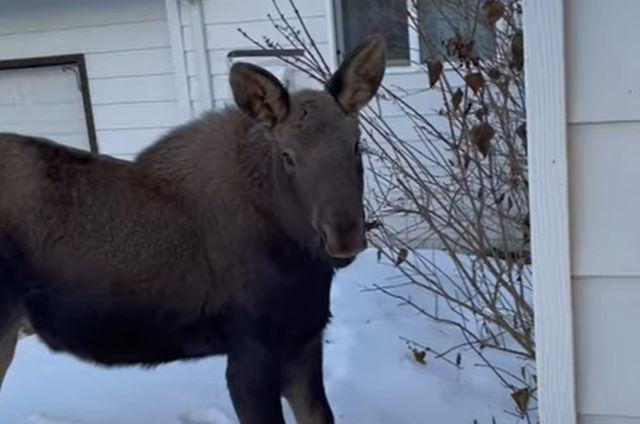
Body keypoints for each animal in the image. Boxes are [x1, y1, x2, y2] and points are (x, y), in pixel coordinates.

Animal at [0, 38, 384, 422]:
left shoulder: (305, 340)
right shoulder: (250, 352)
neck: (299, 255)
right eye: (288, 156)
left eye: (356, 144)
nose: (344, 235)